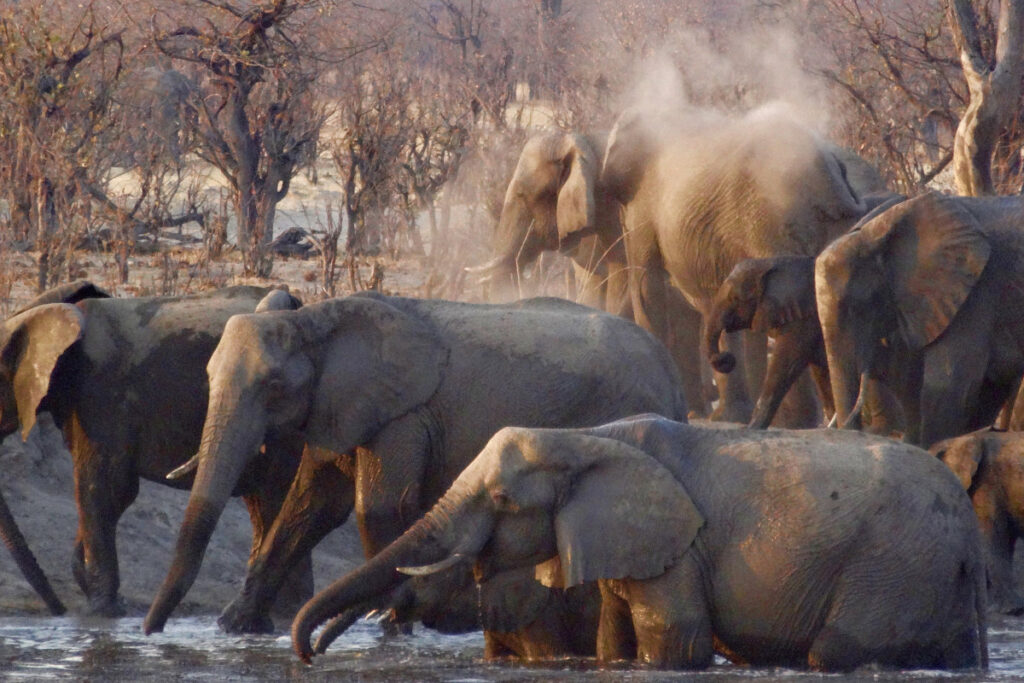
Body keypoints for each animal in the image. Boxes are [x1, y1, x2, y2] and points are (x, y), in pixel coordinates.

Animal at [0, 280, 305, 618]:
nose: (61, 611)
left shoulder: (100, 393)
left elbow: (104, 488)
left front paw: (103, 614)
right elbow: (116, 493)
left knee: (275, 498)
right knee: (266, 505)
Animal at [292, 413, 987, 671]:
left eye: (503, 501)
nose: (308, 654)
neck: (588, 437)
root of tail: (969, 526)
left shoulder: (678, 545)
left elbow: (671, 638)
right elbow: (613, 639)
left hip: (894, 564)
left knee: (836, 651)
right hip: (931, 577)